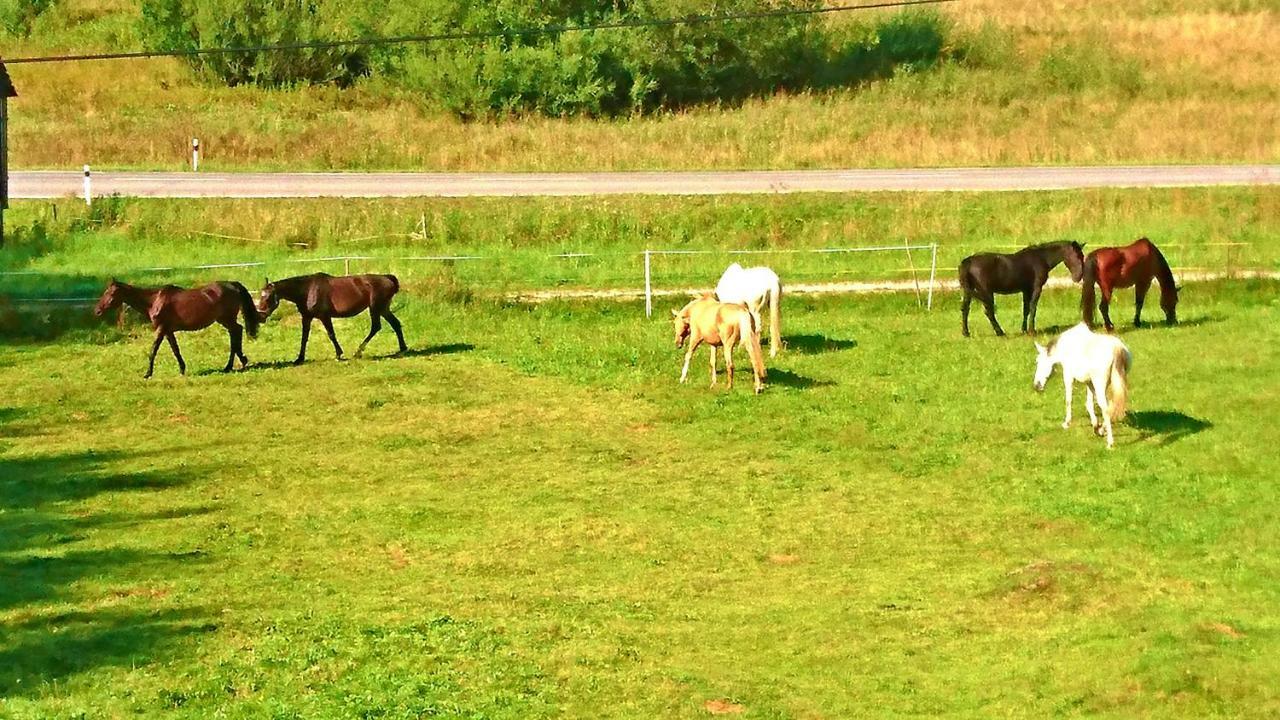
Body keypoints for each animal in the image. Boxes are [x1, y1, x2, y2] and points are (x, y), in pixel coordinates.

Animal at [93, 275, 259, 379]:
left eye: (111, 293)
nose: (97, 311)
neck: (154, 301)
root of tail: (233, 285)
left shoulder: (161, 329)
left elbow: (153, 351)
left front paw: (147, 373)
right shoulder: (168, 331)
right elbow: (175, 350)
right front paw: (182, 369)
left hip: (226, 319)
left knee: (236, 332)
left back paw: (234, 364)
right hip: (224, 320)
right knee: (236, 332)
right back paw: (238, 362)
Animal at [256, 270, 404, 363]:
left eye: (268, 297)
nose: (261, 316)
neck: (308, 289)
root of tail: (387, 278)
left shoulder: (324, 316)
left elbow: (331, 334)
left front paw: (339, 354)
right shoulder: (306, 317)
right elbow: (304, 338)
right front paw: (299, 359)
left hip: (375, 308)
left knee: (376, 327)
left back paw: (358, 352)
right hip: (383, 309)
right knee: (395, 324)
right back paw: (403, 349)